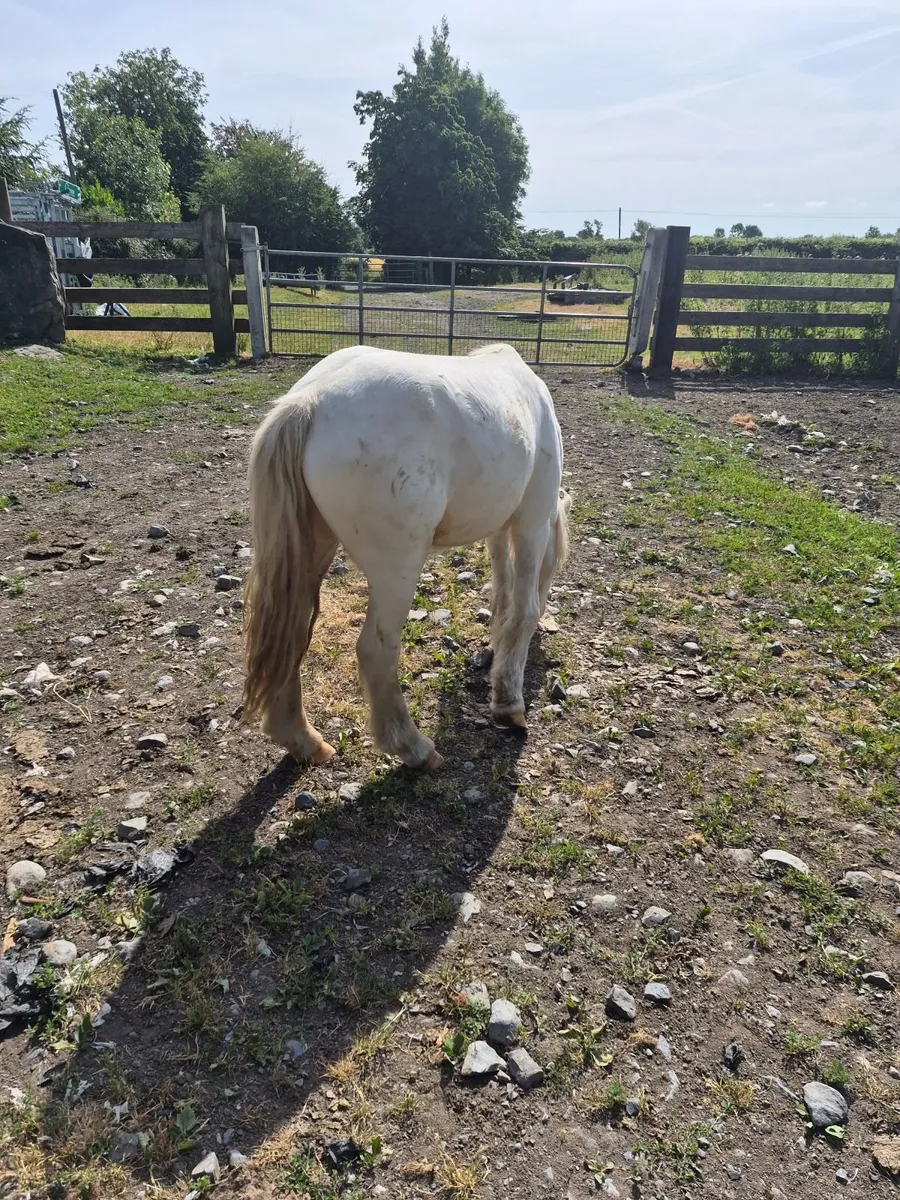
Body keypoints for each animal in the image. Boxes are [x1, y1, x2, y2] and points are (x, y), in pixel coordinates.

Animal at [242, 343, 570, 771]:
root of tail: (310, 400)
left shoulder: (500, 525)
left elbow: (501, 587)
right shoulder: (532, 521)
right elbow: (523, 607)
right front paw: (509, 704)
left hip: (310, 552)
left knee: (293, 635)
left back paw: (303, 740)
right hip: (396, 570)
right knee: (376, 651)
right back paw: (413, 748)